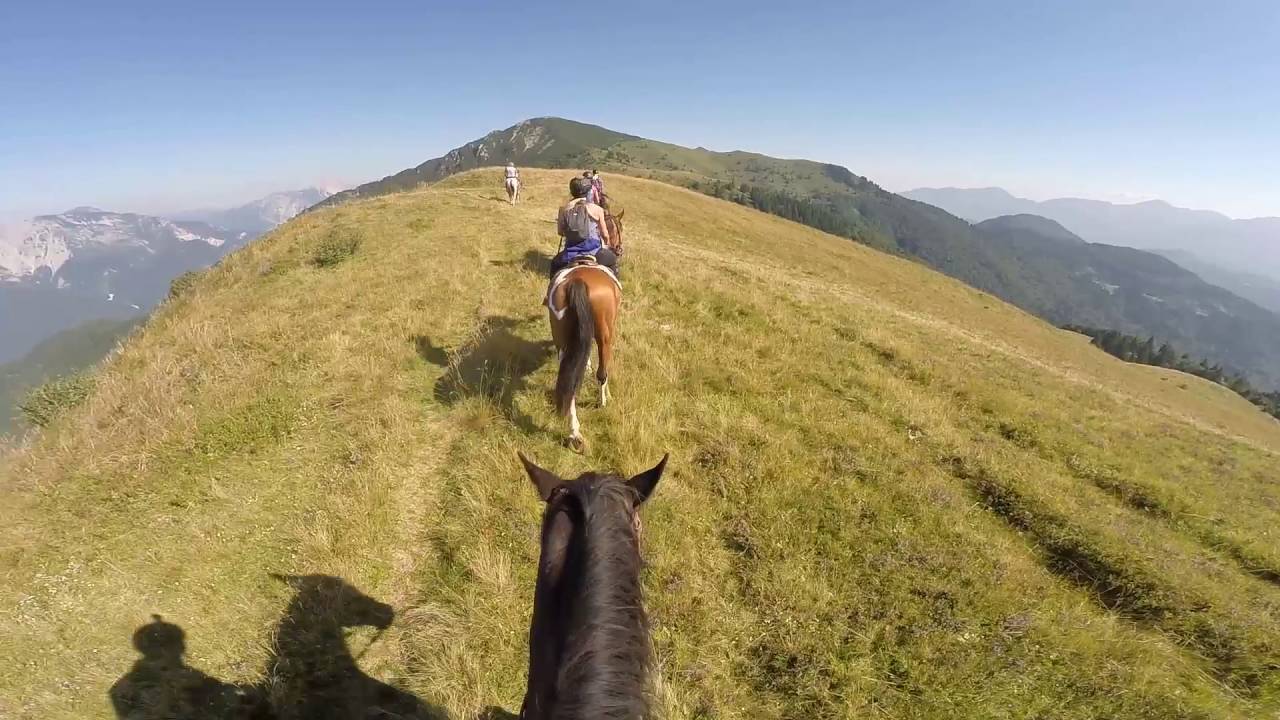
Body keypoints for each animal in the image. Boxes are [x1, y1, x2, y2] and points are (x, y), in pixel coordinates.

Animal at [547, 210, 625, 453]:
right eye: (618, 228)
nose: (619, 249)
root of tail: (579, 281)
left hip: (562, 337)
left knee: (569, 378)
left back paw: (574, 432)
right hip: (605, 335)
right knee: (602, 372)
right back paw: (602, 402)